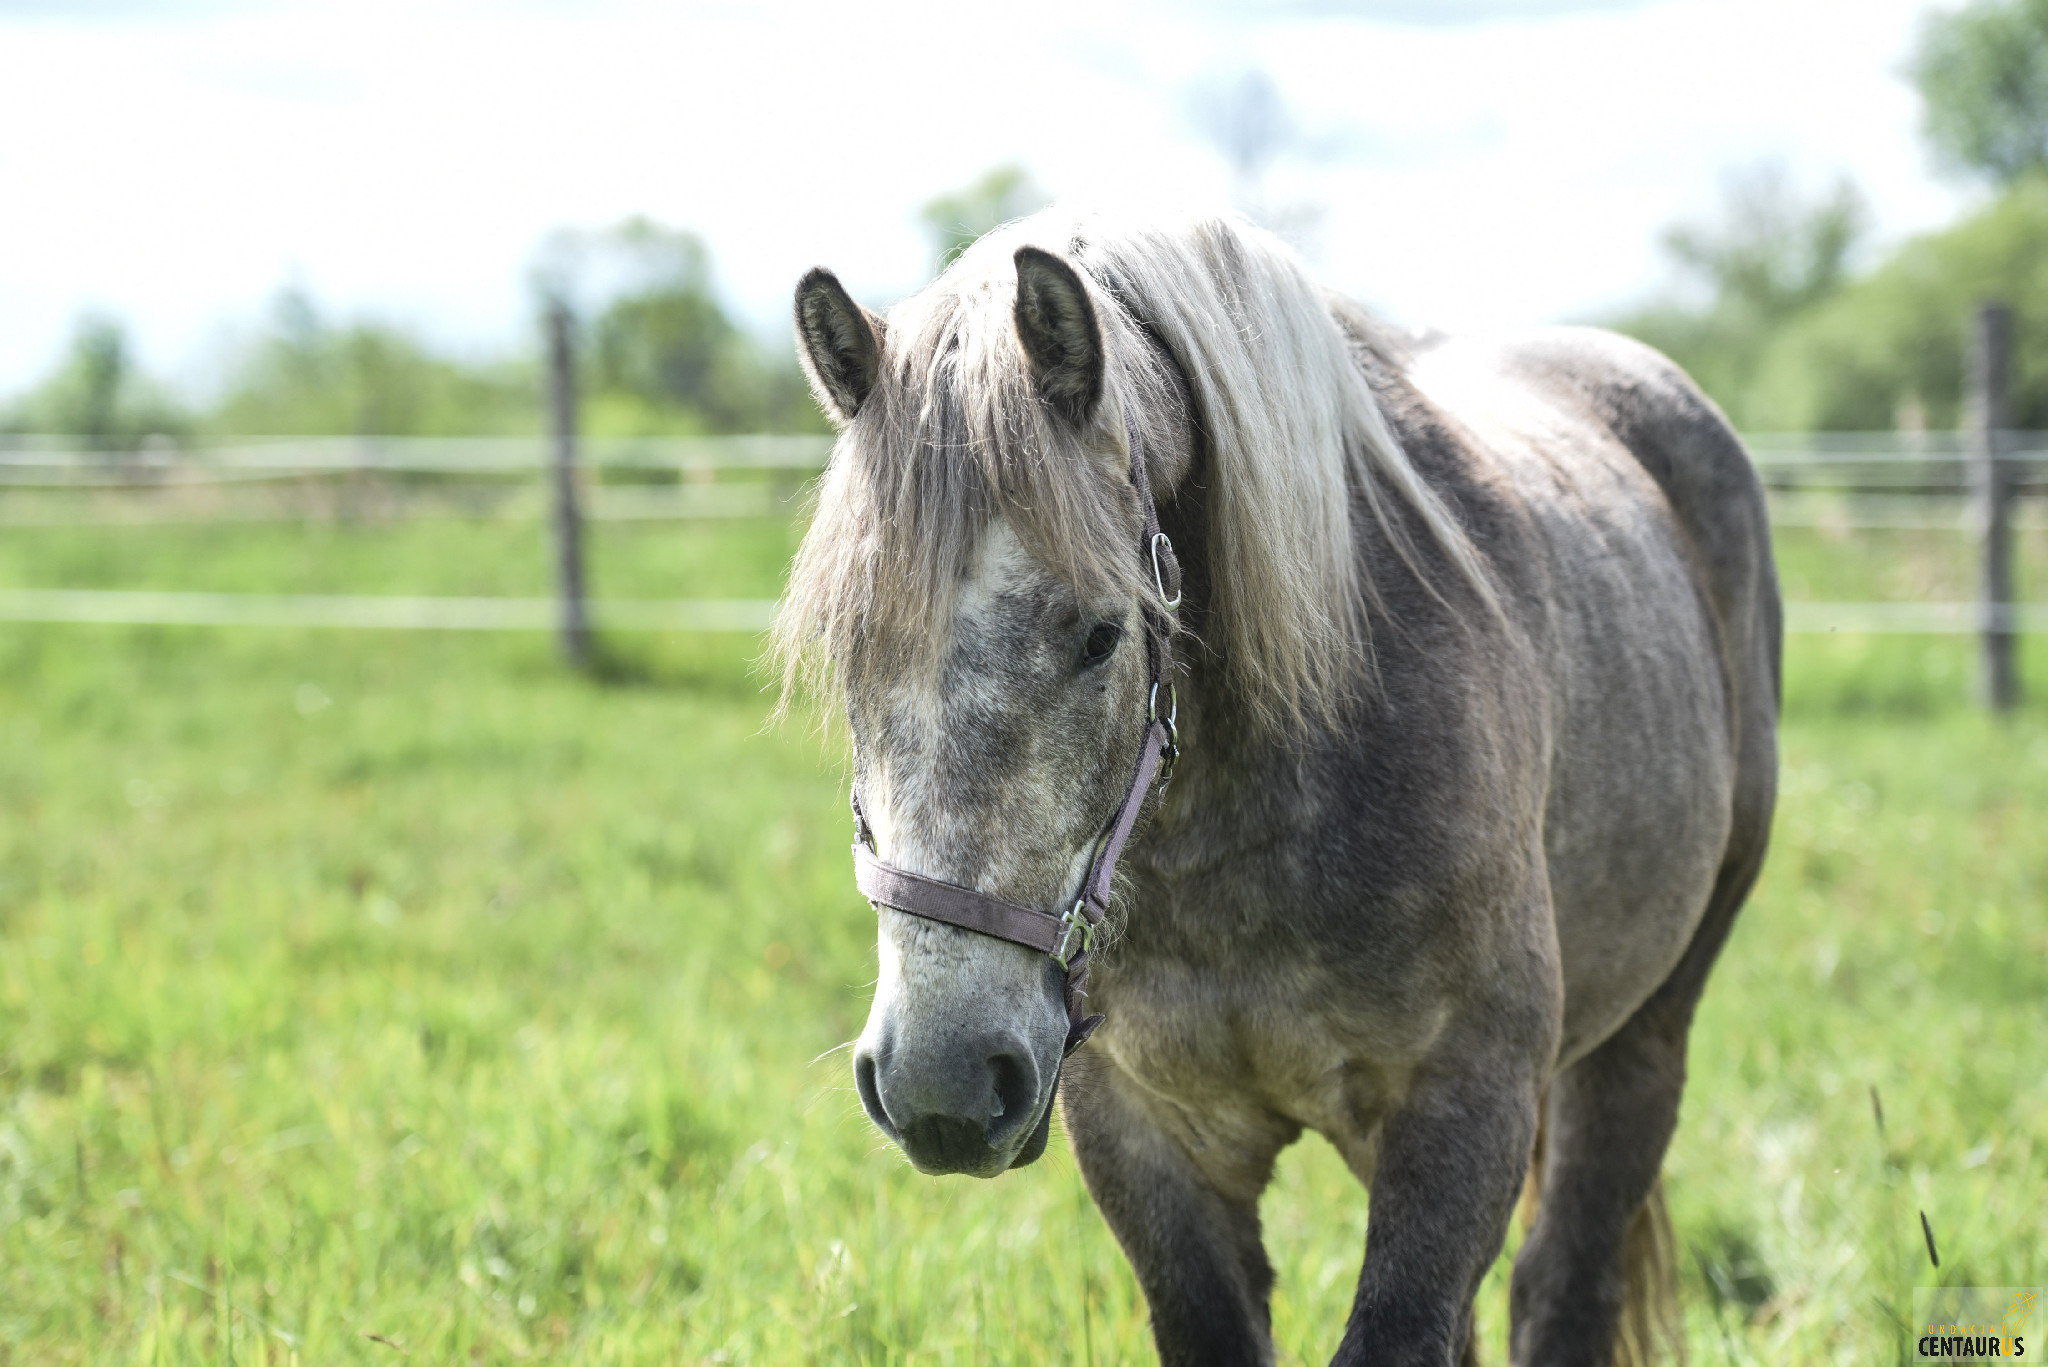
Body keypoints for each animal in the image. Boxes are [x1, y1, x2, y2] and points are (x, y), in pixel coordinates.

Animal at [770, 205, 1777, 1367]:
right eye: (848, 650)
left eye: (1100, 634)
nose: (939, 1081)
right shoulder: (1145, 1135)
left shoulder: (1465, 1103)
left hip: (1642, 1035)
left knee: (1563, 1280)